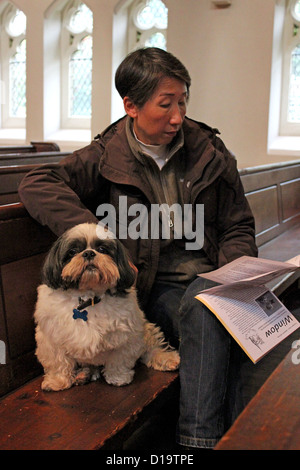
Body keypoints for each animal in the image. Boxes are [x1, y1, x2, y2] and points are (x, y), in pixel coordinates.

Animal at [35, 222, 180, 392]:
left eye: (102, 249)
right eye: (73, 251)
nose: (89, 253)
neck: (89, 298)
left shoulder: (126, 336)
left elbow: (119, 360)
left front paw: (118, 378)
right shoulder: (50, 339)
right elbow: (58, 362)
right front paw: (57, 381)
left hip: (146, 330)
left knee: (152, 346)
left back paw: (165, 358)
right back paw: (84, 374)